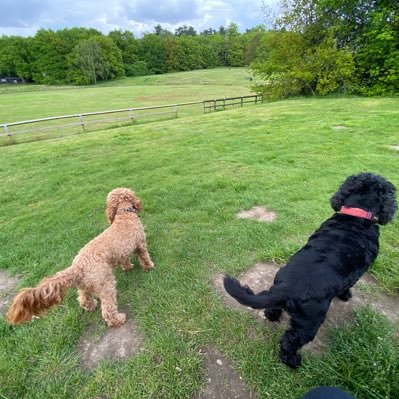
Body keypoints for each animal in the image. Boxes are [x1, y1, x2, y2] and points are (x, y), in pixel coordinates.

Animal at [6, 189, 153, 326]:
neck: (124, 214)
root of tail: (78, 266)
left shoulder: (122, 252)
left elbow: (125, 260)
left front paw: (128, 268)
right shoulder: (140, 243)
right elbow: (144, 256)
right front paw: (149, 266)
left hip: (84, 285)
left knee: (83, 299)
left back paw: (91, 306)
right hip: (106, 284)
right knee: (107, 309)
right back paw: (117, 319)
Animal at [225, 173, 396, 370]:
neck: (357, 214)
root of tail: (285, 288)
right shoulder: (357, 272)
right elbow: (348, 286)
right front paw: (346, 296)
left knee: (272, 309)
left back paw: (272, 317)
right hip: (310, 321)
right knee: (289, 341)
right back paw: (292, 361)